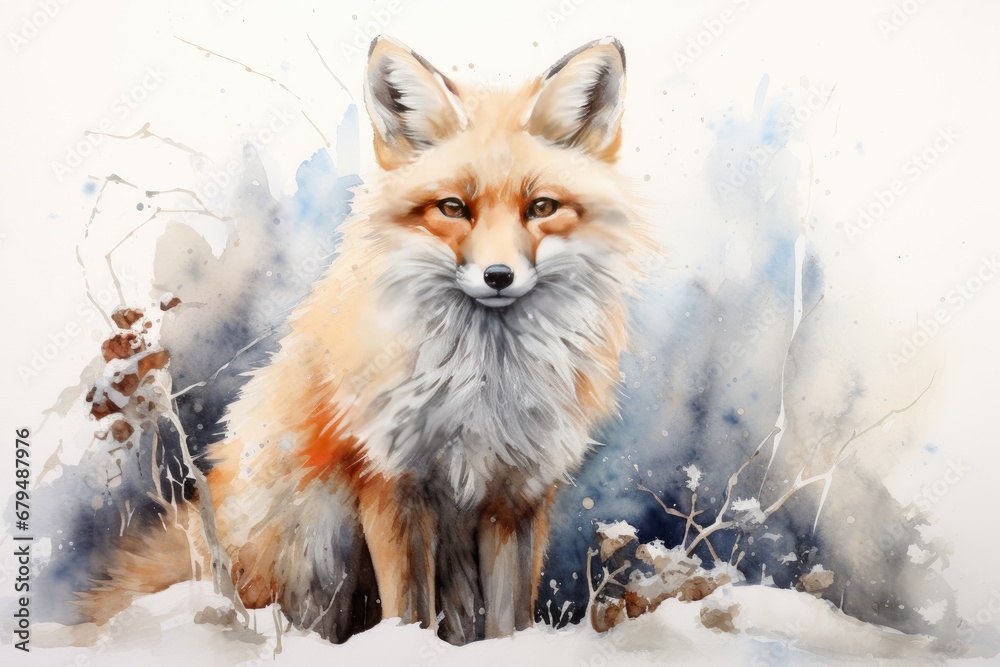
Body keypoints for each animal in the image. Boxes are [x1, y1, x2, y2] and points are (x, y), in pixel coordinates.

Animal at [80, 35, 649, 646]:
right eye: (453, 208)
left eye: (541, 207)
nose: (498, 276)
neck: (482, 383)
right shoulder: (391, 483)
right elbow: (410, 609)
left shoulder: (516, 498)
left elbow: (508, 622)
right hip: (315, 546)